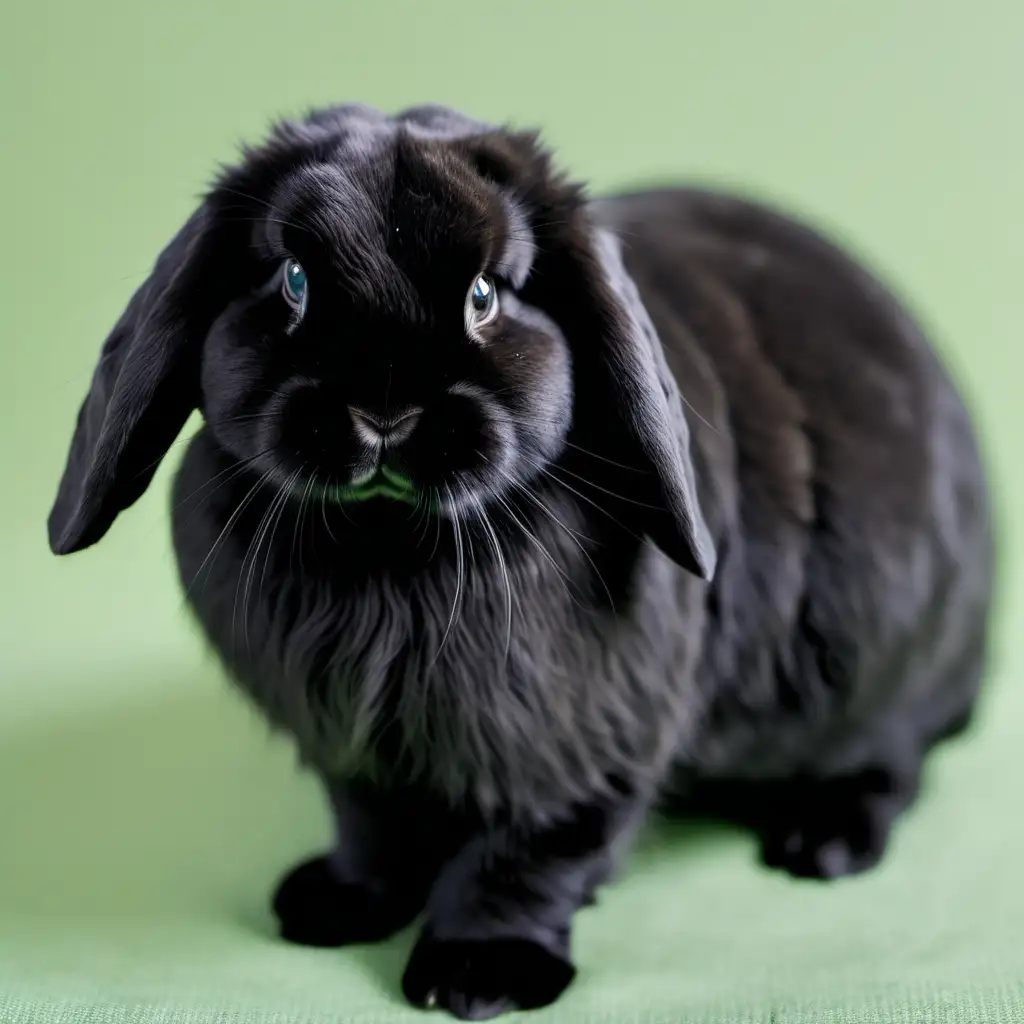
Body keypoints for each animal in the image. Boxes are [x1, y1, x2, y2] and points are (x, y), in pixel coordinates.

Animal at [48, 103, 991, 1015]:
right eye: (292, 281)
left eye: (484, 296)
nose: (384, 409)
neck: (386, 552)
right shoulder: (356, 752)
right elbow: (371, 828)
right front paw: (337, 905)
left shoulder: (575, 757)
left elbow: (525, 856)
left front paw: (480, 975)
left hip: (880, 676)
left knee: (893, 765)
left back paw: (821, 845)